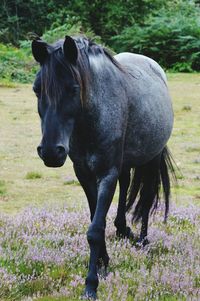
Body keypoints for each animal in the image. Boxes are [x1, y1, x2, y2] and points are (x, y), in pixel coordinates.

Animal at [31, 35, 175, 298]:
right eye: (37, 90)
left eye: (73, 89)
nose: (50, 152)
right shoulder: (84, 173)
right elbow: (94, 217)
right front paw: (103, 262)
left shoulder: (106, 174)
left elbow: (95, 229)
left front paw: (91, 284)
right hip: (126, 161)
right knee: (126, 184)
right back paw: (122, 229)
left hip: (151, 158)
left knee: (147, 197)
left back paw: (143, 239)